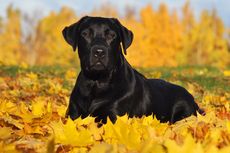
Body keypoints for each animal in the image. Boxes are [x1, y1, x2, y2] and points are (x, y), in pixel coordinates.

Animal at [62, 16, 204, 124]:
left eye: (112, 35)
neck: (97, 82)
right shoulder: (72, 114)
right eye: (85, 34)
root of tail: (193, 99)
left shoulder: (113, 116)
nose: (99, 52)